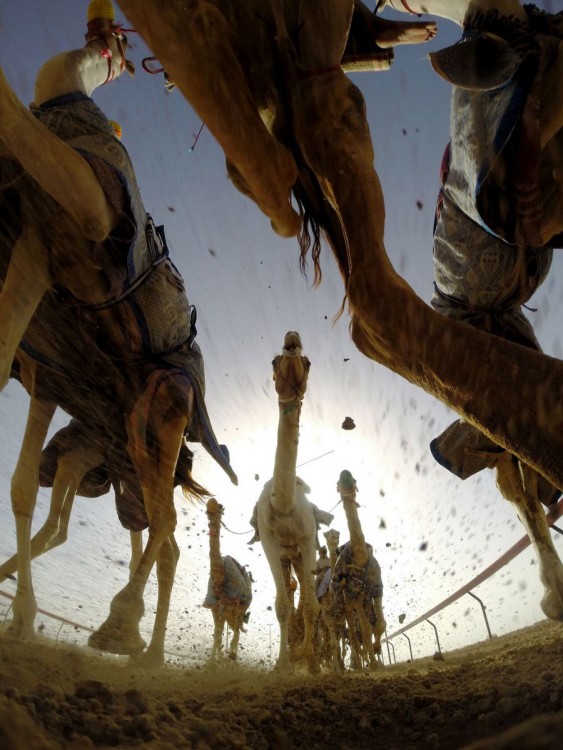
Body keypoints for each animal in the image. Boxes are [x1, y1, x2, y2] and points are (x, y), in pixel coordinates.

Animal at [0, 1, 236, 668]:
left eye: (122, 49)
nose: (99, 26)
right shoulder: (45, 364)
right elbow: (21, 483)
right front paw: (22, 617)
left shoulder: (72, 214)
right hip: (131, 446)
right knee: (157, 530)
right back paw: (133, 641)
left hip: (159, 428)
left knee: (166, 531)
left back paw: (127, 634)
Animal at [203, 502, 253, 660]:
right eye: (207, 512)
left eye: (220, 509)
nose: (211, 510)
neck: (220, 580)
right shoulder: (214, 607)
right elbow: (217, 634)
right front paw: (213, 661)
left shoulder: (228, 605)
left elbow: (220, 633)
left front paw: (218, 660)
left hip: (240, 609)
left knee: (237, 630)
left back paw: (232, 656)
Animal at [332, 472, 386, 672]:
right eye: (338, 484)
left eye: (354, 480)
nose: (345, 473)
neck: (360, 557)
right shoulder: (353, 594)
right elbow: (365, 628)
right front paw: (373, 663)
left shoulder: (377, 587)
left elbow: (380, 624)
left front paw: (377, 653)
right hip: (346, 604)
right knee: (355, 635)